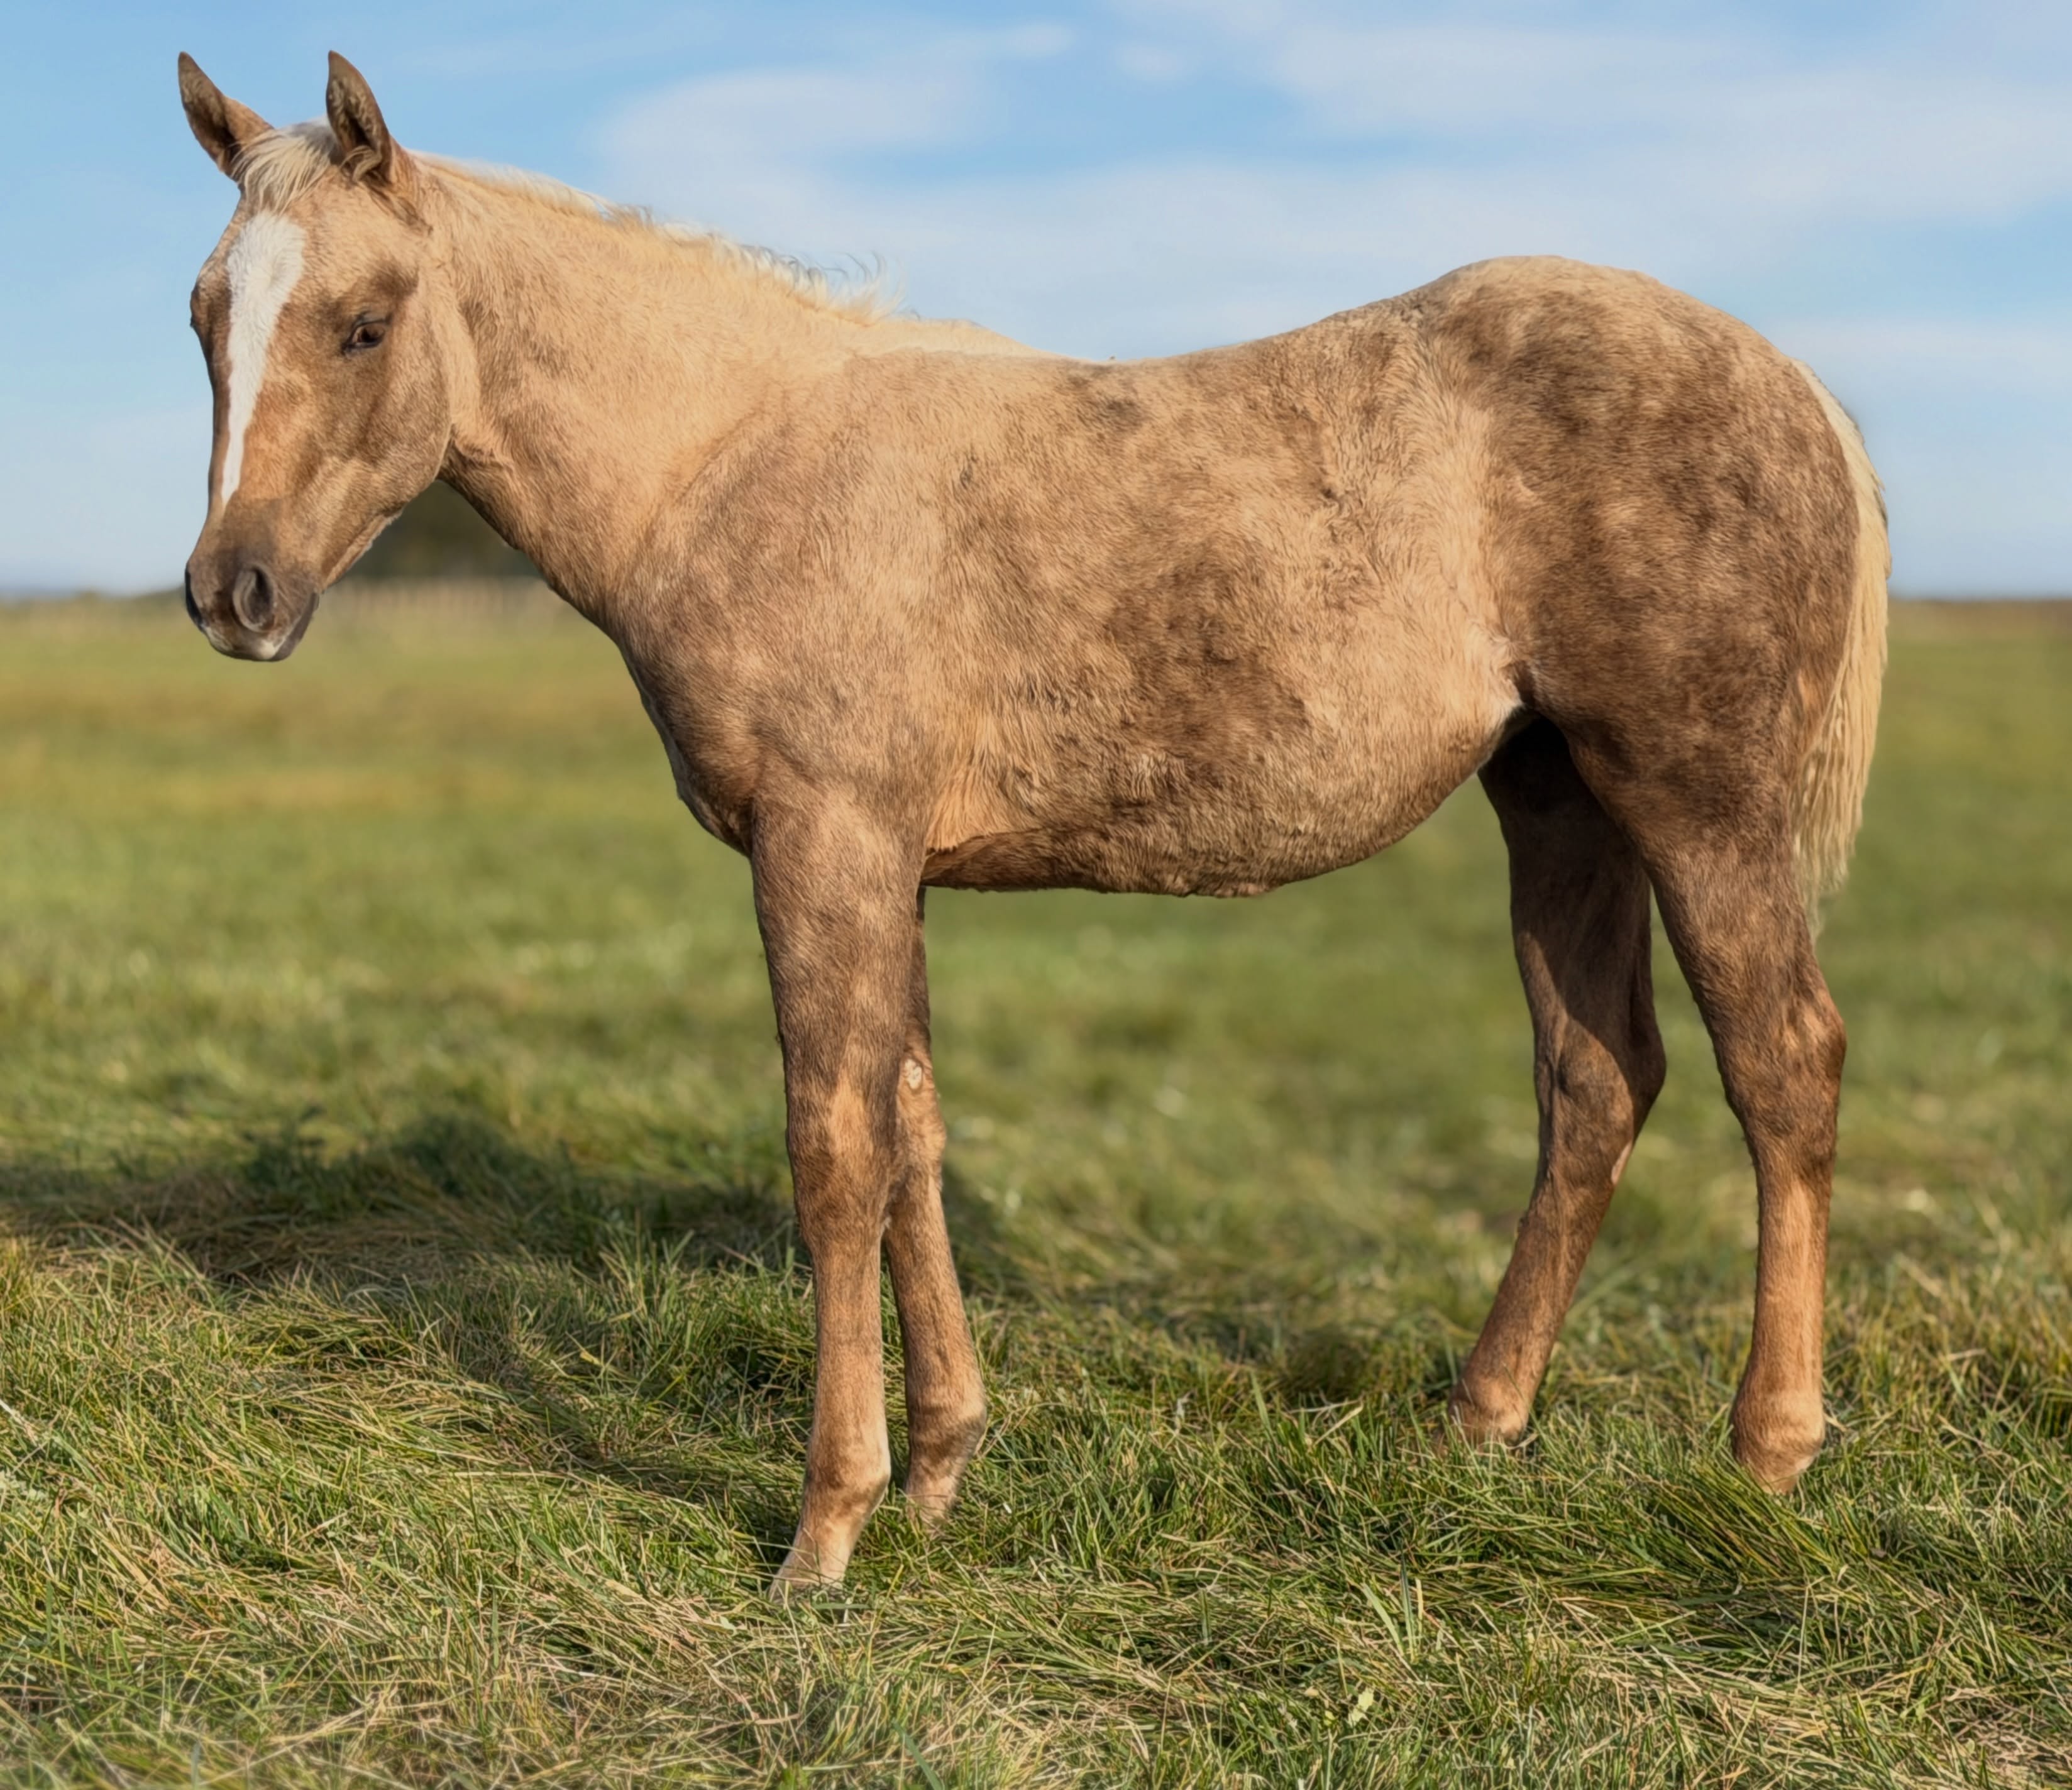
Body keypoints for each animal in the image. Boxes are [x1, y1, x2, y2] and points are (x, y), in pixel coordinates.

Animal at [176, 52, 1887, 1594]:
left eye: (363, 321)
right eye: (205, 316)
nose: (229, 594)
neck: (729, 460)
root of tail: (1793, 383)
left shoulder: (825, 847)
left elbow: (834, 1150)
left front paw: (827, 1527)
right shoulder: (890, 867)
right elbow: (913, 1129)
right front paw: (940, 1464)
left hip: (1695, 806)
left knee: (1778, 1065)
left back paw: (1764, 1455)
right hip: (1557, 802)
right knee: (1594, 1082)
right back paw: (1477, 1422)